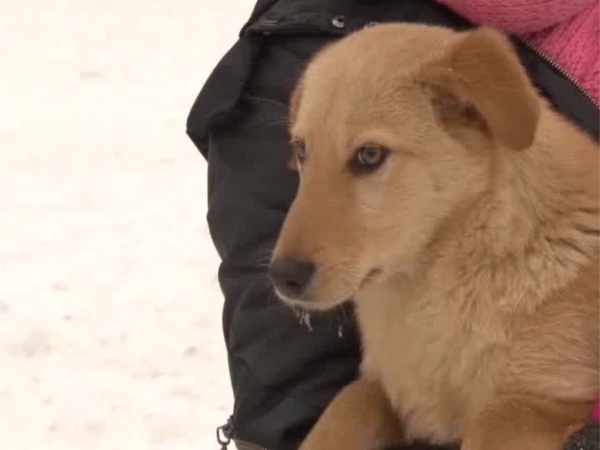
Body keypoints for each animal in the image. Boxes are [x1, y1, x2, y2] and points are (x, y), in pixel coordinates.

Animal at [268, 23, 600, 450]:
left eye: (370, 155)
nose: (283, 277)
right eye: (301, 150)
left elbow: (490, 422)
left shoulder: (543, 402)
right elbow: (347, 403)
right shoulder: (390, 389)